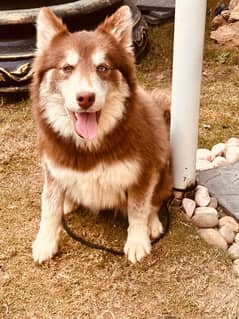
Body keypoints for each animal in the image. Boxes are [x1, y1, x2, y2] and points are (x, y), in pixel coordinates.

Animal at [31, 5, 172, 264]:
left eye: (103, 68)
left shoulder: (144, 171)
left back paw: (153, 223)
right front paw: (45, 241)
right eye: (67, 68)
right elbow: (49, 206)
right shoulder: (52, 168)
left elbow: (139, 208)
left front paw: (137, 241)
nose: (85, 98)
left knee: (155, 202)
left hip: (163, 169)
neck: (89, 148)